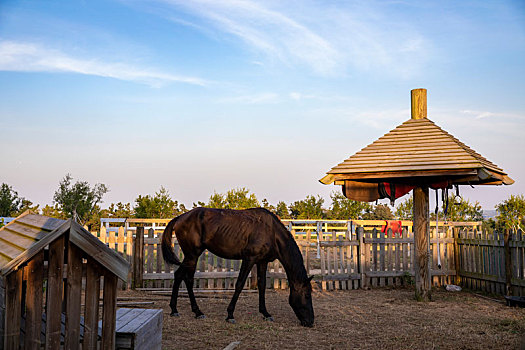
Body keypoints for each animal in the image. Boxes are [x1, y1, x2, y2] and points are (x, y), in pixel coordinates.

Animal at [162, 206, 314, 326]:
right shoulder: (249, 259)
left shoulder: (262, 262)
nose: (310, 322)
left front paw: (265, 313)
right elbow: (240, 284)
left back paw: (176, 310)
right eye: (307, 295)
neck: (271, 232)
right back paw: (196, 312)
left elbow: (262, 285)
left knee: (179, 275)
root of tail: (180, 218)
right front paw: (230, 315)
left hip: (191, 256)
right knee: (187, 278)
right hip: (192, 255)